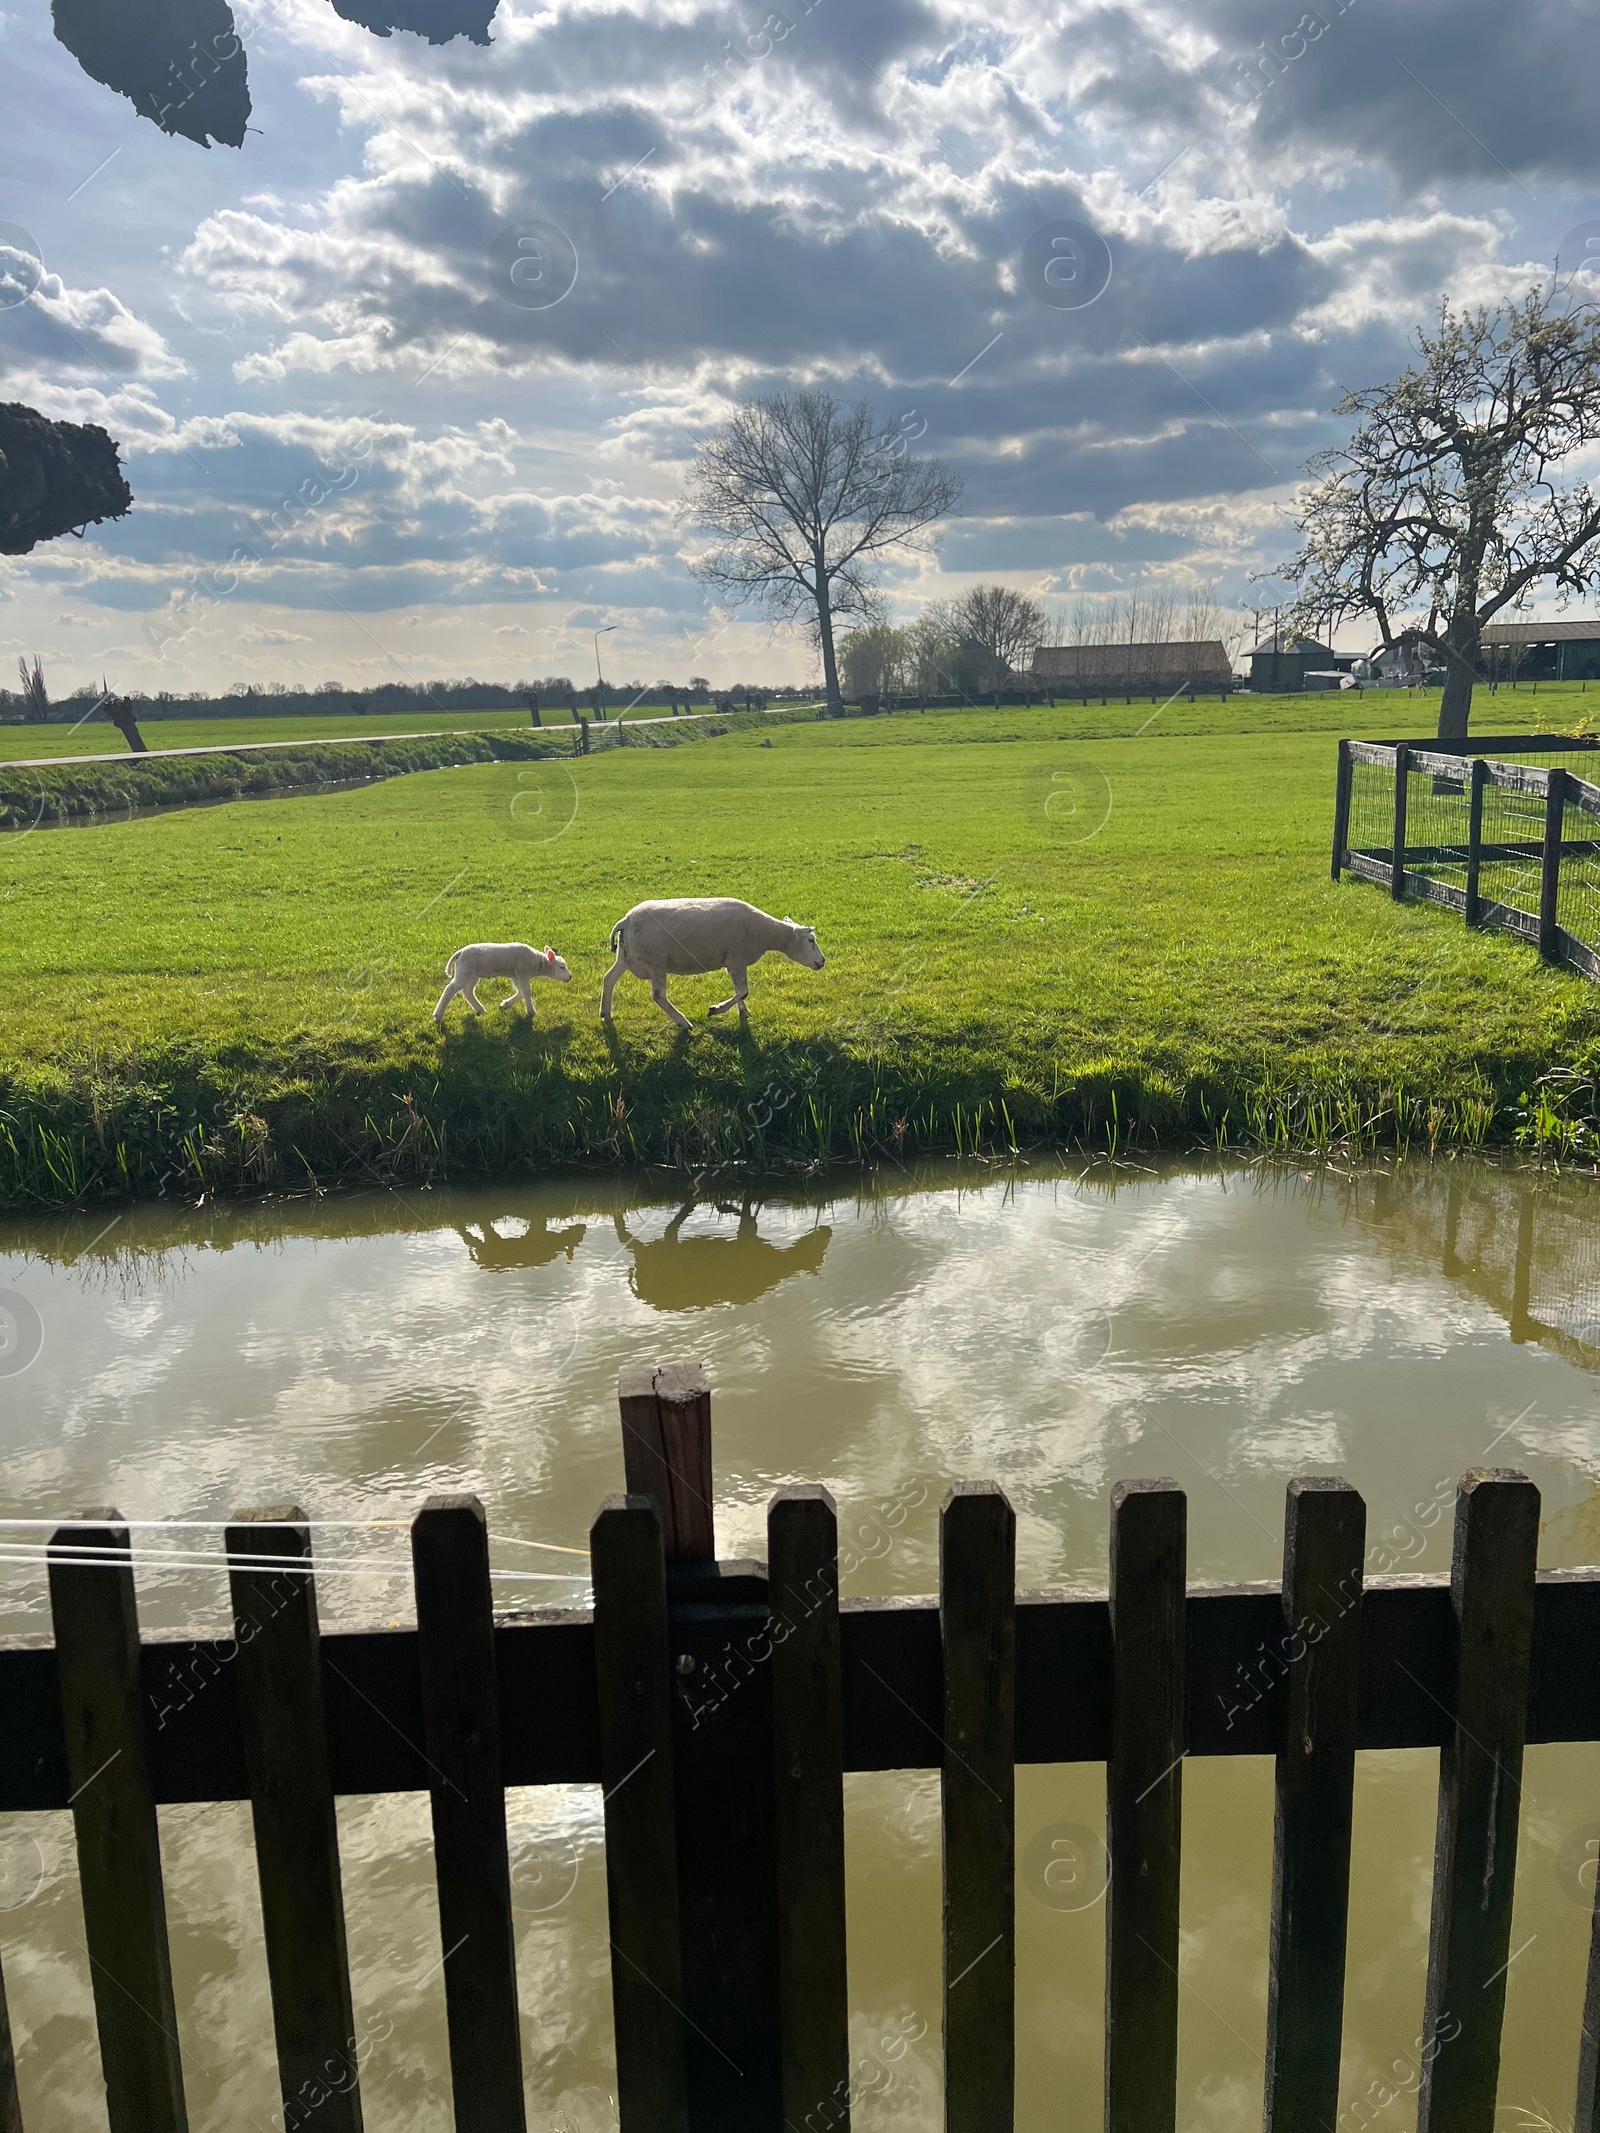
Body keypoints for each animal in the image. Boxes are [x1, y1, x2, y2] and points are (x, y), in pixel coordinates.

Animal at [435, 942, 571, 1023]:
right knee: (450, 989)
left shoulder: (516, 975)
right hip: (465, 970)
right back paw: (438, 1015)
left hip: (472, 974)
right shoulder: (522, 973)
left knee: (467, 991)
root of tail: (460, 953)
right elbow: (527, 992)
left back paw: (480, 1010)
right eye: (561, 967)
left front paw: (505, 1005)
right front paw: (531, 1011)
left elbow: (520, 992)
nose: (570, 977)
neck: (536, 962)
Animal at [601, 900, 827, 1032]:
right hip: (655, 962)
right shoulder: (737, 958)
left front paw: (744, 1011)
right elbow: (743, 990)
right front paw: (716, 1009)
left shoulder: (733, 962)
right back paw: (683, 1022)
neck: (766, 933)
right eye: (810, 940)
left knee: (608, 979)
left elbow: (739, 990)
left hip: (625, 955)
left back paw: (605, 1013)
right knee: (658, 996)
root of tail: (625, 921)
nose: (823, 961)